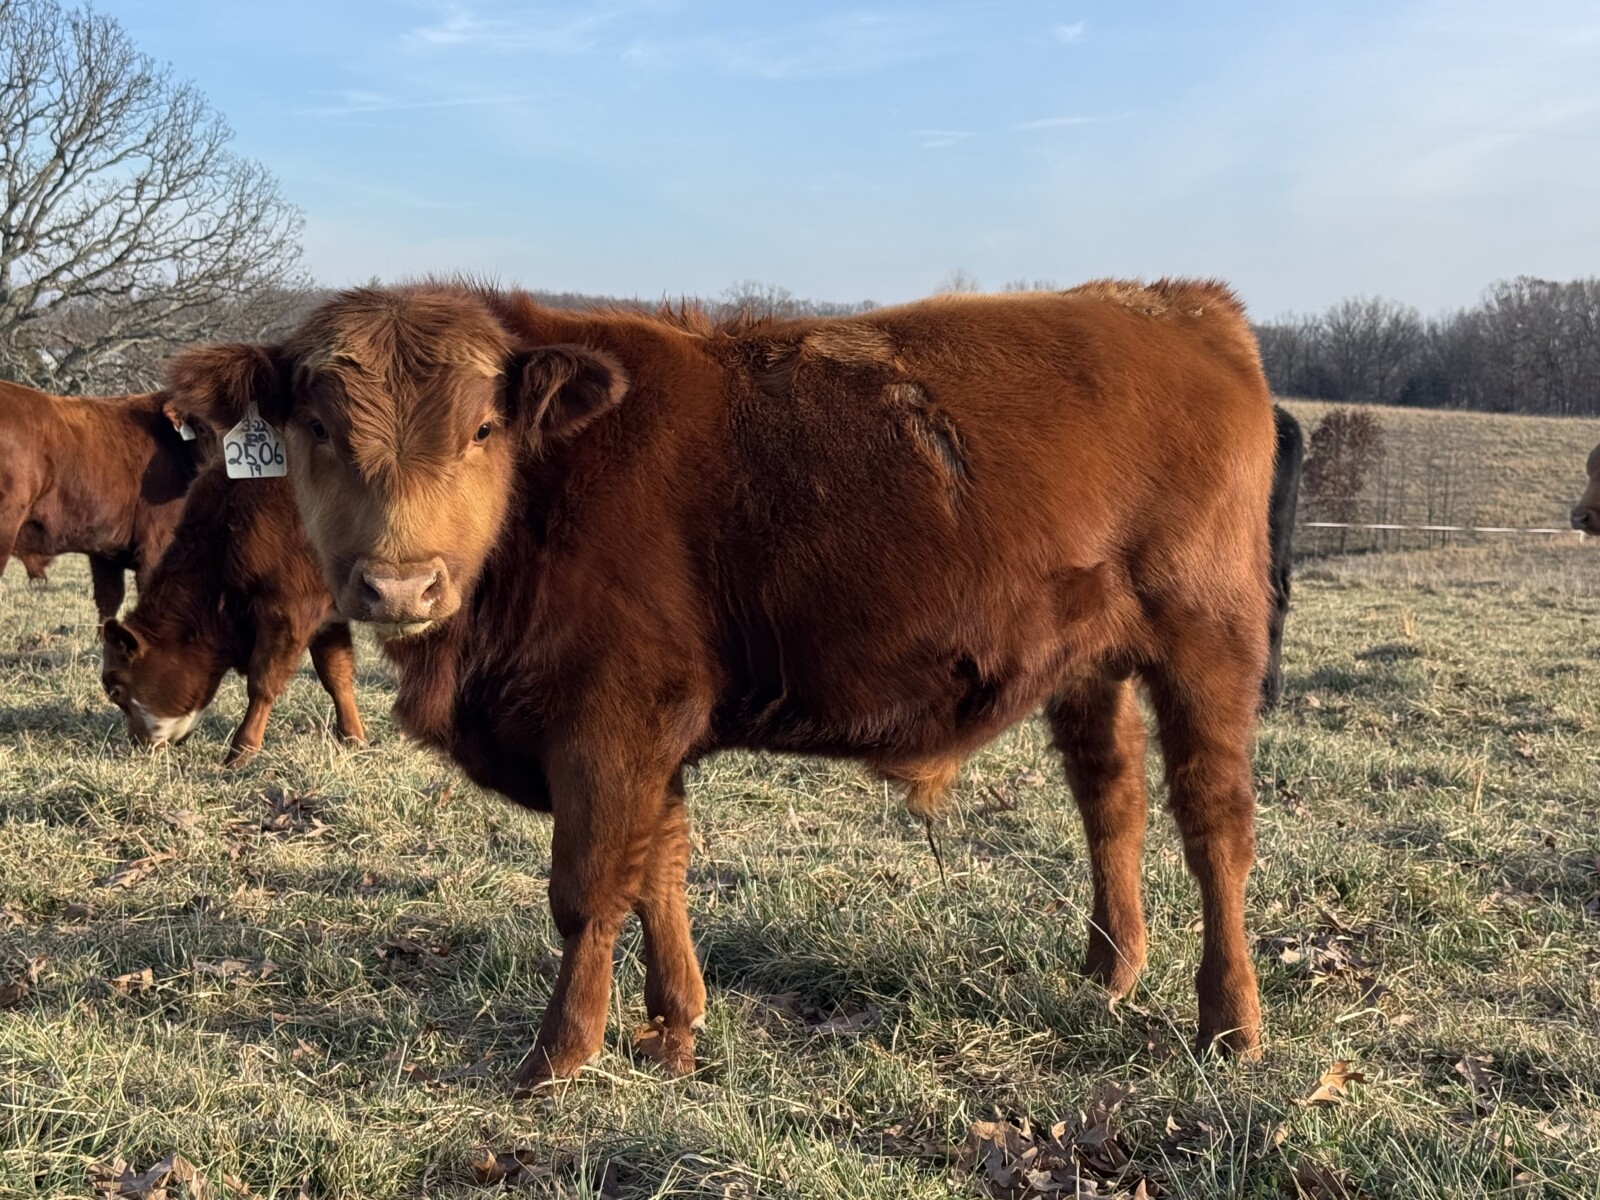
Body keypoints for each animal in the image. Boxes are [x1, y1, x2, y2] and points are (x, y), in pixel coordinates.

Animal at [99, 464, 365, 766]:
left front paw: (241, 751)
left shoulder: (287, 612)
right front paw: (353, 738)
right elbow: (336, 674)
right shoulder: (328, 617)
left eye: (116, 690)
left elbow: (262, 683)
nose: (137, 743)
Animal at [167, 278, 1276, 1091]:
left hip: (1208, 643)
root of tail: (1175, 305)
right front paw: (672, 1032)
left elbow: (586, 890)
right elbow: (659, 867)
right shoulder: (649, 734)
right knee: (1112, 801)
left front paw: (555, 1058)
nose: (401, 582)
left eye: (482, 429)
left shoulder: (609, 723)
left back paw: (1229, 1023)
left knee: (1213, 824)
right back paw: (1109, 971)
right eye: (316, 429)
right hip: (1090, 667)